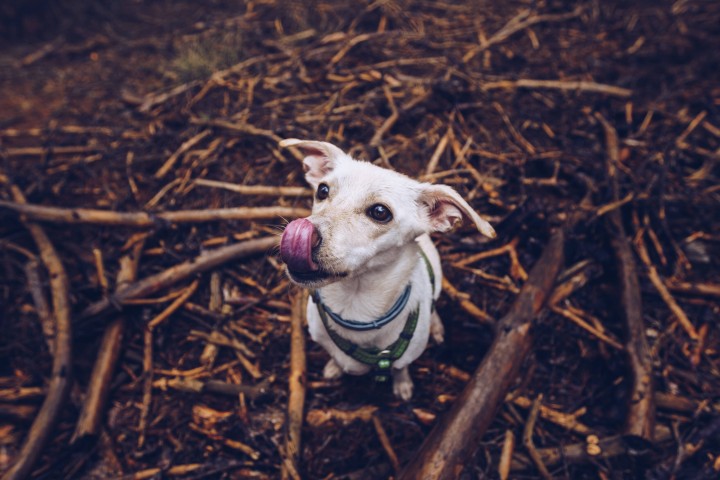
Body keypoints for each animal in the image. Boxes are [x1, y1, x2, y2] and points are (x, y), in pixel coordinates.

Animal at [278, 140, 496, 402]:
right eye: (322, 190)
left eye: (380, 212)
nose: (302, 233)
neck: (355, 307)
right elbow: (335, 357)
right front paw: (334, 367)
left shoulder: (405, 356)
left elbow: (400, 368)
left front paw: (403, 385)